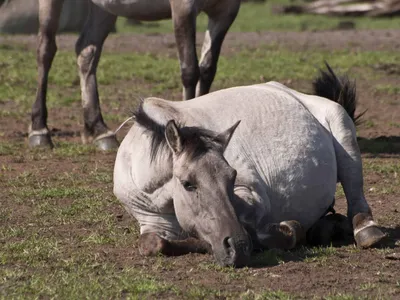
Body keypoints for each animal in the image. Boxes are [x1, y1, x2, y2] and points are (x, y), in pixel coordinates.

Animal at [30, 0, 241, 150]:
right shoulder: (183, 8)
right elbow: (190, 70)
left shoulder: (225, 12)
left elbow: (207, 69)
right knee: (45, 49)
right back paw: (39, 130)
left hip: (104, 8)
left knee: (86, 51)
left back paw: (99, 130)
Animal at [112, 64, 384, 266]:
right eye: (188, 184)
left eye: (232, 176)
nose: (238, 248)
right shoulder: (155, 223)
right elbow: (154, 243)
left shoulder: (253, 196)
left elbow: (252, 223)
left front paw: (285, 231)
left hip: (342, 129)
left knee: (356, 192)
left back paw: (365, 230)